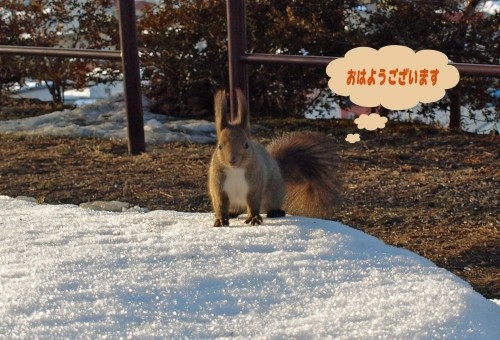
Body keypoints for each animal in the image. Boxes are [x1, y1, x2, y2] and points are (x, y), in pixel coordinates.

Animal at [208, 90, 344, 227]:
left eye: (246, 145)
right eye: (219, 146)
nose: (232, 160)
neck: (236, 170)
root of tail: (276, 164)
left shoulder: (255, 185)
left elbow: (253, 204)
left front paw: (254, 218)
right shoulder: (218, 187)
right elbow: (220, 204)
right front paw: (221, 219)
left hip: (272, 193)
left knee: (268, 204)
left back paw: (276, 212)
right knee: (236, 209)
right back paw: (231, 213)